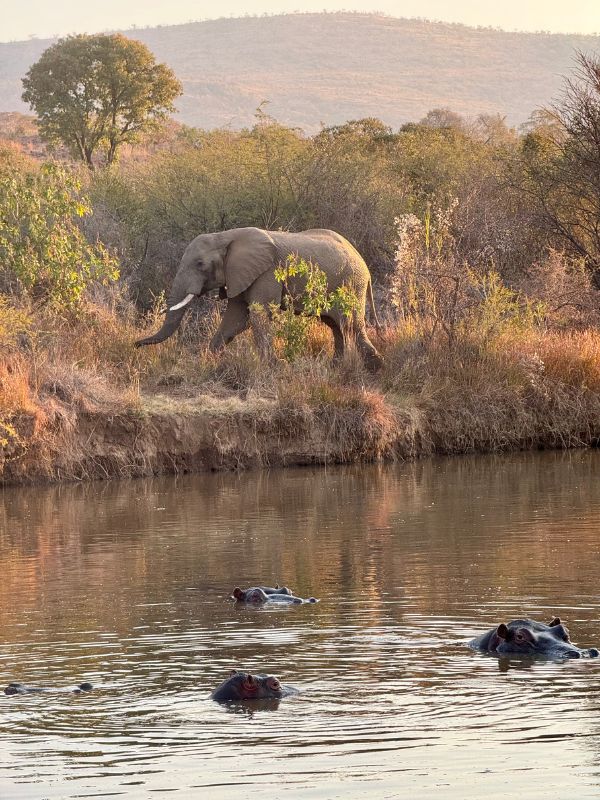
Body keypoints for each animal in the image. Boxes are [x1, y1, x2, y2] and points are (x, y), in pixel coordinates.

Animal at [135, 227, 383, 370]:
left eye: (200, 264)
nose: (135, 344)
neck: (225, 236)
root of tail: (364, 265)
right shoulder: (239, 275)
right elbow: (235, 319)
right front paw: (213, 359)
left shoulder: (267, 272)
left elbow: (259, 314)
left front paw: (272, 366)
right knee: (335, 326)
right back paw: (336, 367)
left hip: (351, 284)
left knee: (350, 324)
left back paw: (375, 367)